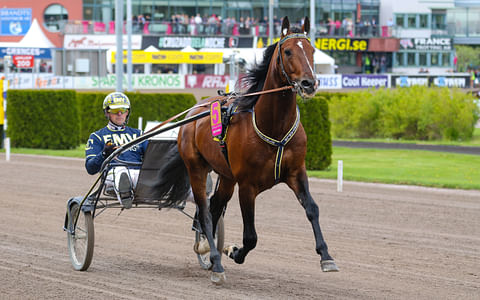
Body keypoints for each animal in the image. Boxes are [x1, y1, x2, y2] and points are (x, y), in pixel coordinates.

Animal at [158, 15, 338, 284]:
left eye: (312, 50)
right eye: (287, 51)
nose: (309, 83)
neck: (273, 126)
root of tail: (195, 111)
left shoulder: (296, 172)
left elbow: (312, 209)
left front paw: (326, 256)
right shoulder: (247, 185)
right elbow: (251, 236)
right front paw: (234, 252)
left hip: (226, 176)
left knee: (214, 206)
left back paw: (207, 248)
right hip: (197, 167)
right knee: (205, 210)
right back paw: (216, 262)